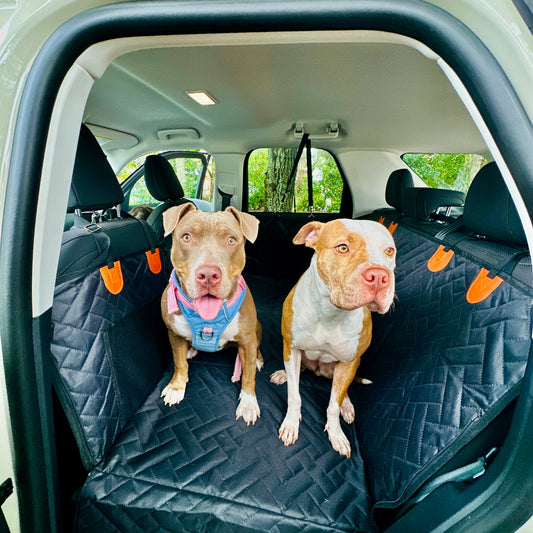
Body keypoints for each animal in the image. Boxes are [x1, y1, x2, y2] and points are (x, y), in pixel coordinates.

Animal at [161, 203, 262, 424]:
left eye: (231, 240)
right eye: (186, 237)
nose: (208, 274)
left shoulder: (248, 340)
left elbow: (249, 374)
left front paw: (248, 403)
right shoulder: (173, 333)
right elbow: (179, 362)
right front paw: (176, 387)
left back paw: (259, 359)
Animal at [272, 218, 392, 456]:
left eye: (389, 251)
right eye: (343, 247)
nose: (379, 276)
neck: (330, 313)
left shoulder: (348, 362)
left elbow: (333, 405)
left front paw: (336, 433)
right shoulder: (291, 347)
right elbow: (294, 395)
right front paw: (291, 424)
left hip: (345, 367)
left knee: (341, 390)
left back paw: (347, 405)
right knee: (298, 372)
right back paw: (283, 374)